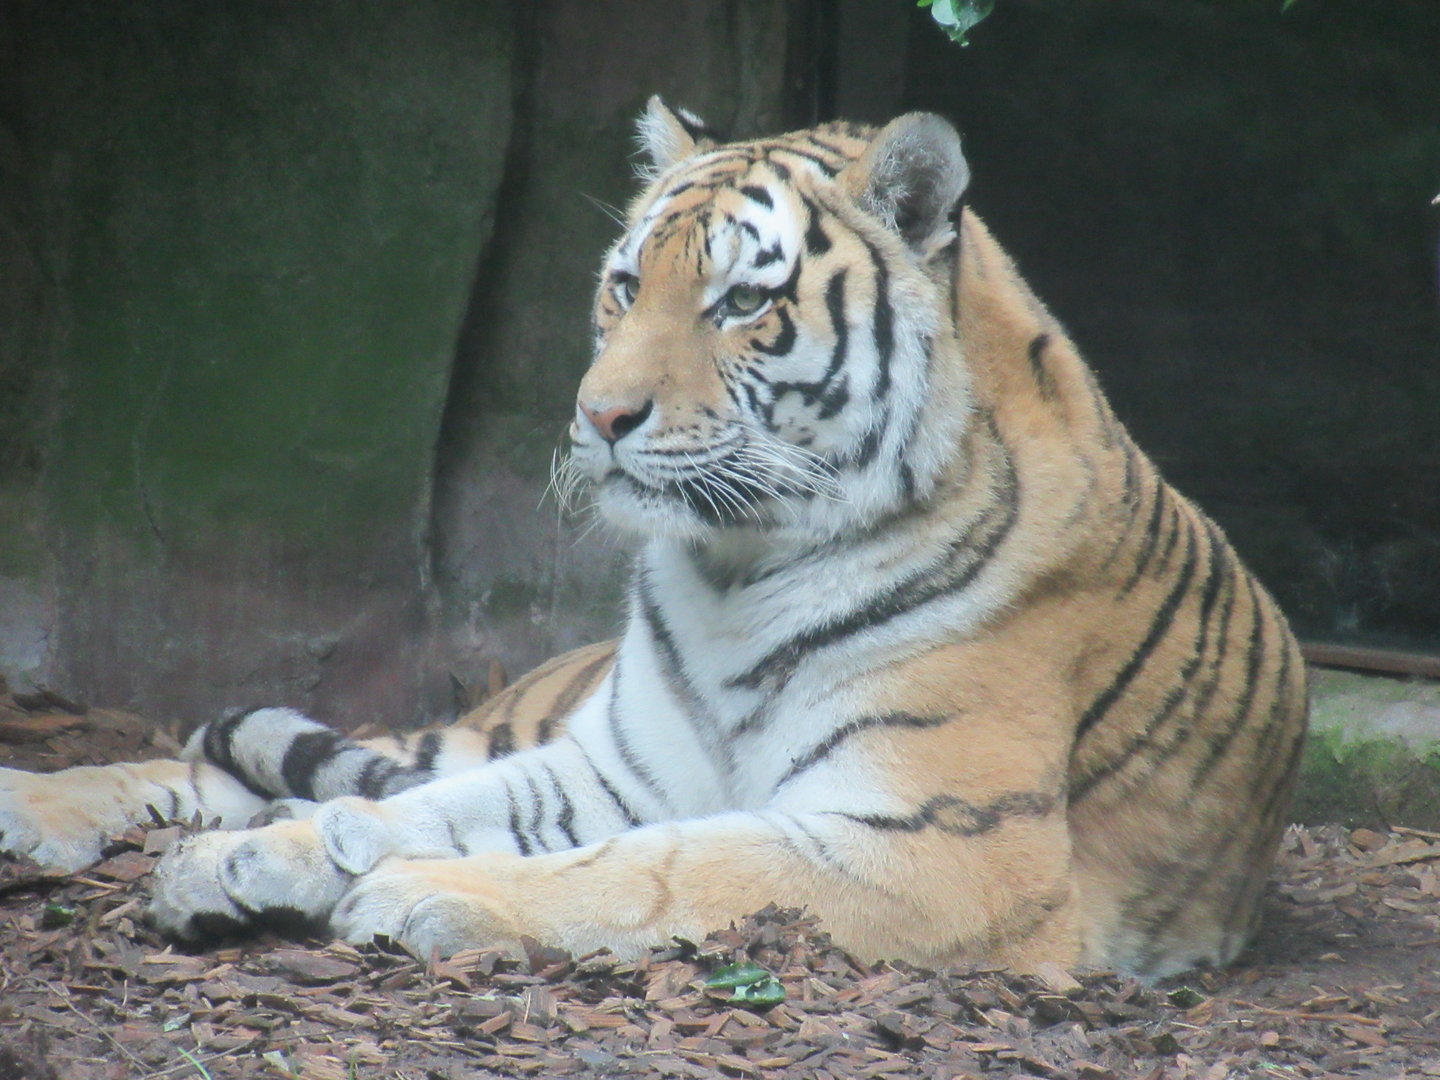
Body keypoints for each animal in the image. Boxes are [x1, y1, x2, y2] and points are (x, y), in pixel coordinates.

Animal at [0, 97, 1307, 978]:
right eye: (626, 286)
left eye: (743, 303)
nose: (599, 416)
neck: (740, 571)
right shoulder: (612, 764)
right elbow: (415, 810)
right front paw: (268, 860)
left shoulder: (943, 847)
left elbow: (662, 866)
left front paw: (411, 894)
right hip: (489, 722)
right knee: (244, 758)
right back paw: (45, 803)